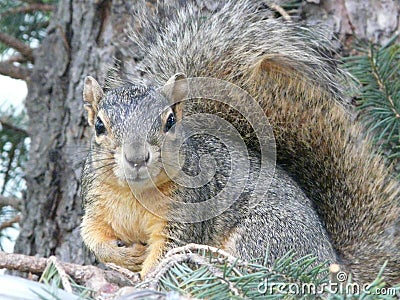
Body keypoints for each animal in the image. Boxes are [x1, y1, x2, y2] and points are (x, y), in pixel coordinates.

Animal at [79, 0, 400, 284]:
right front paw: (123, 257)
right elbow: (91, 235)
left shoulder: (187, 213)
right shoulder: (96, 202)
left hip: (264, 234)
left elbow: (168, 253)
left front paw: (147, 279)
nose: (136, 158)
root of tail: (333, 264)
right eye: (99, 125)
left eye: (169, 121)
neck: (136, 194)